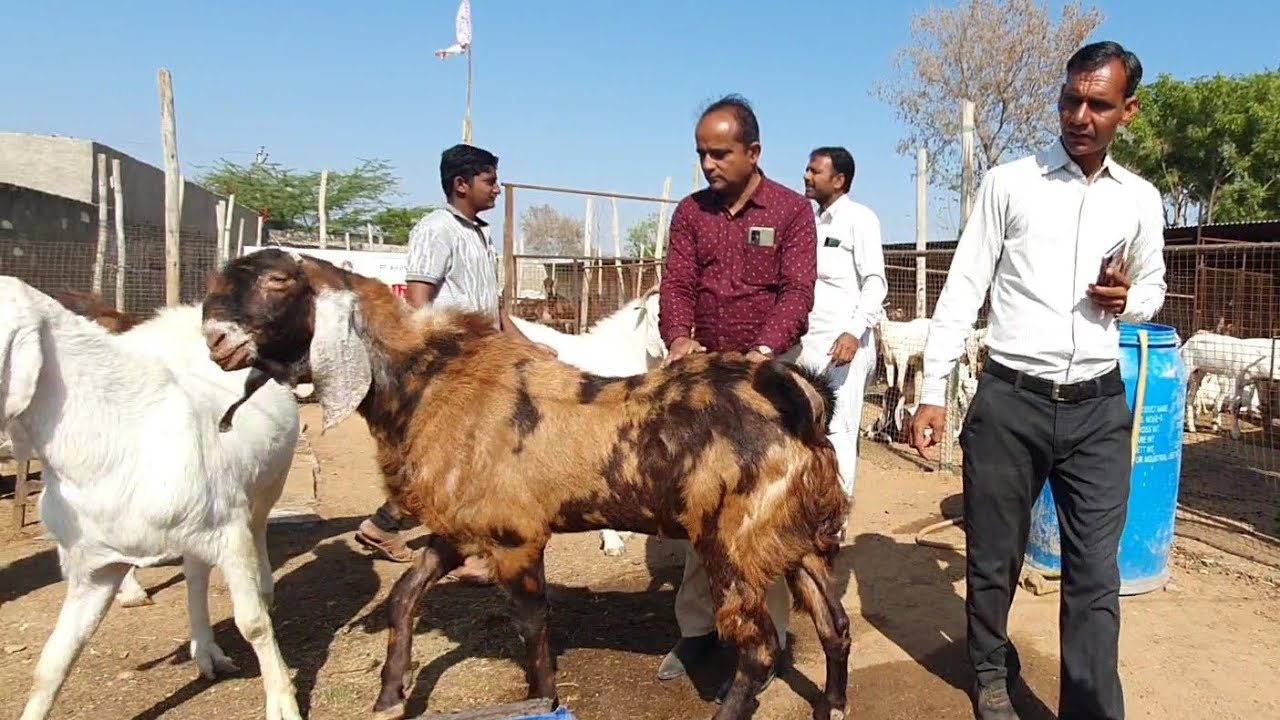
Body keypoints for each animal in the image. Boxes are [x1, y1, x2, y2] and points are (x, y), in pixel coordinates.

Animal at [1, 277, 302, 720]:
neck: (118, 443)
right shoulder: (94, 566)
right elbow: (55, 657)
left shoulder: (228, 531)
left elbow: (253, 623)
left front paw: (283, 702)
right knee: (195, 573)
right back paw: (206, 651)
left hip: (269, 483)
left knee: (258, 526)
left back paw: (262, 589)